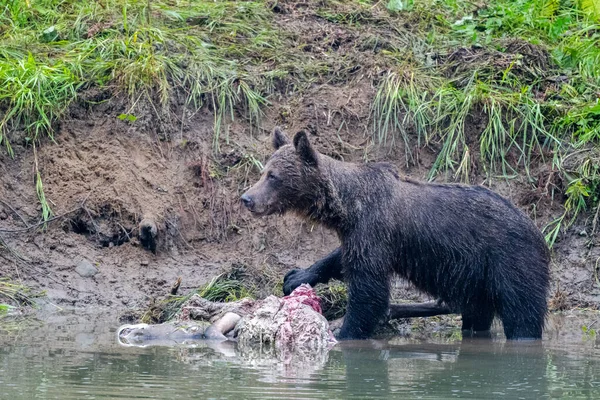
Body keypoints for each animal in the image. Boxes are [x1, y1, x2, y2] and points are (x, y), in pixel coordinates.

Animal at [239, 128, 548, 340]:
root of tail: (537, 230)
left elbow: (369, 292)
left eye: (273, 176)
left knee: (522, 316)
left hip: (510, 262)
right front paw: (296, 275)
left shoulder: (374, 229)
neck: (347, 206)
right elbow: (340, 258)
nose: (247, 198)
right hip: (476, 279)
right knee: (477, 315)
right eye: (263, 171)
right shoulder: (361, 235)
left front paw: (344, 332)